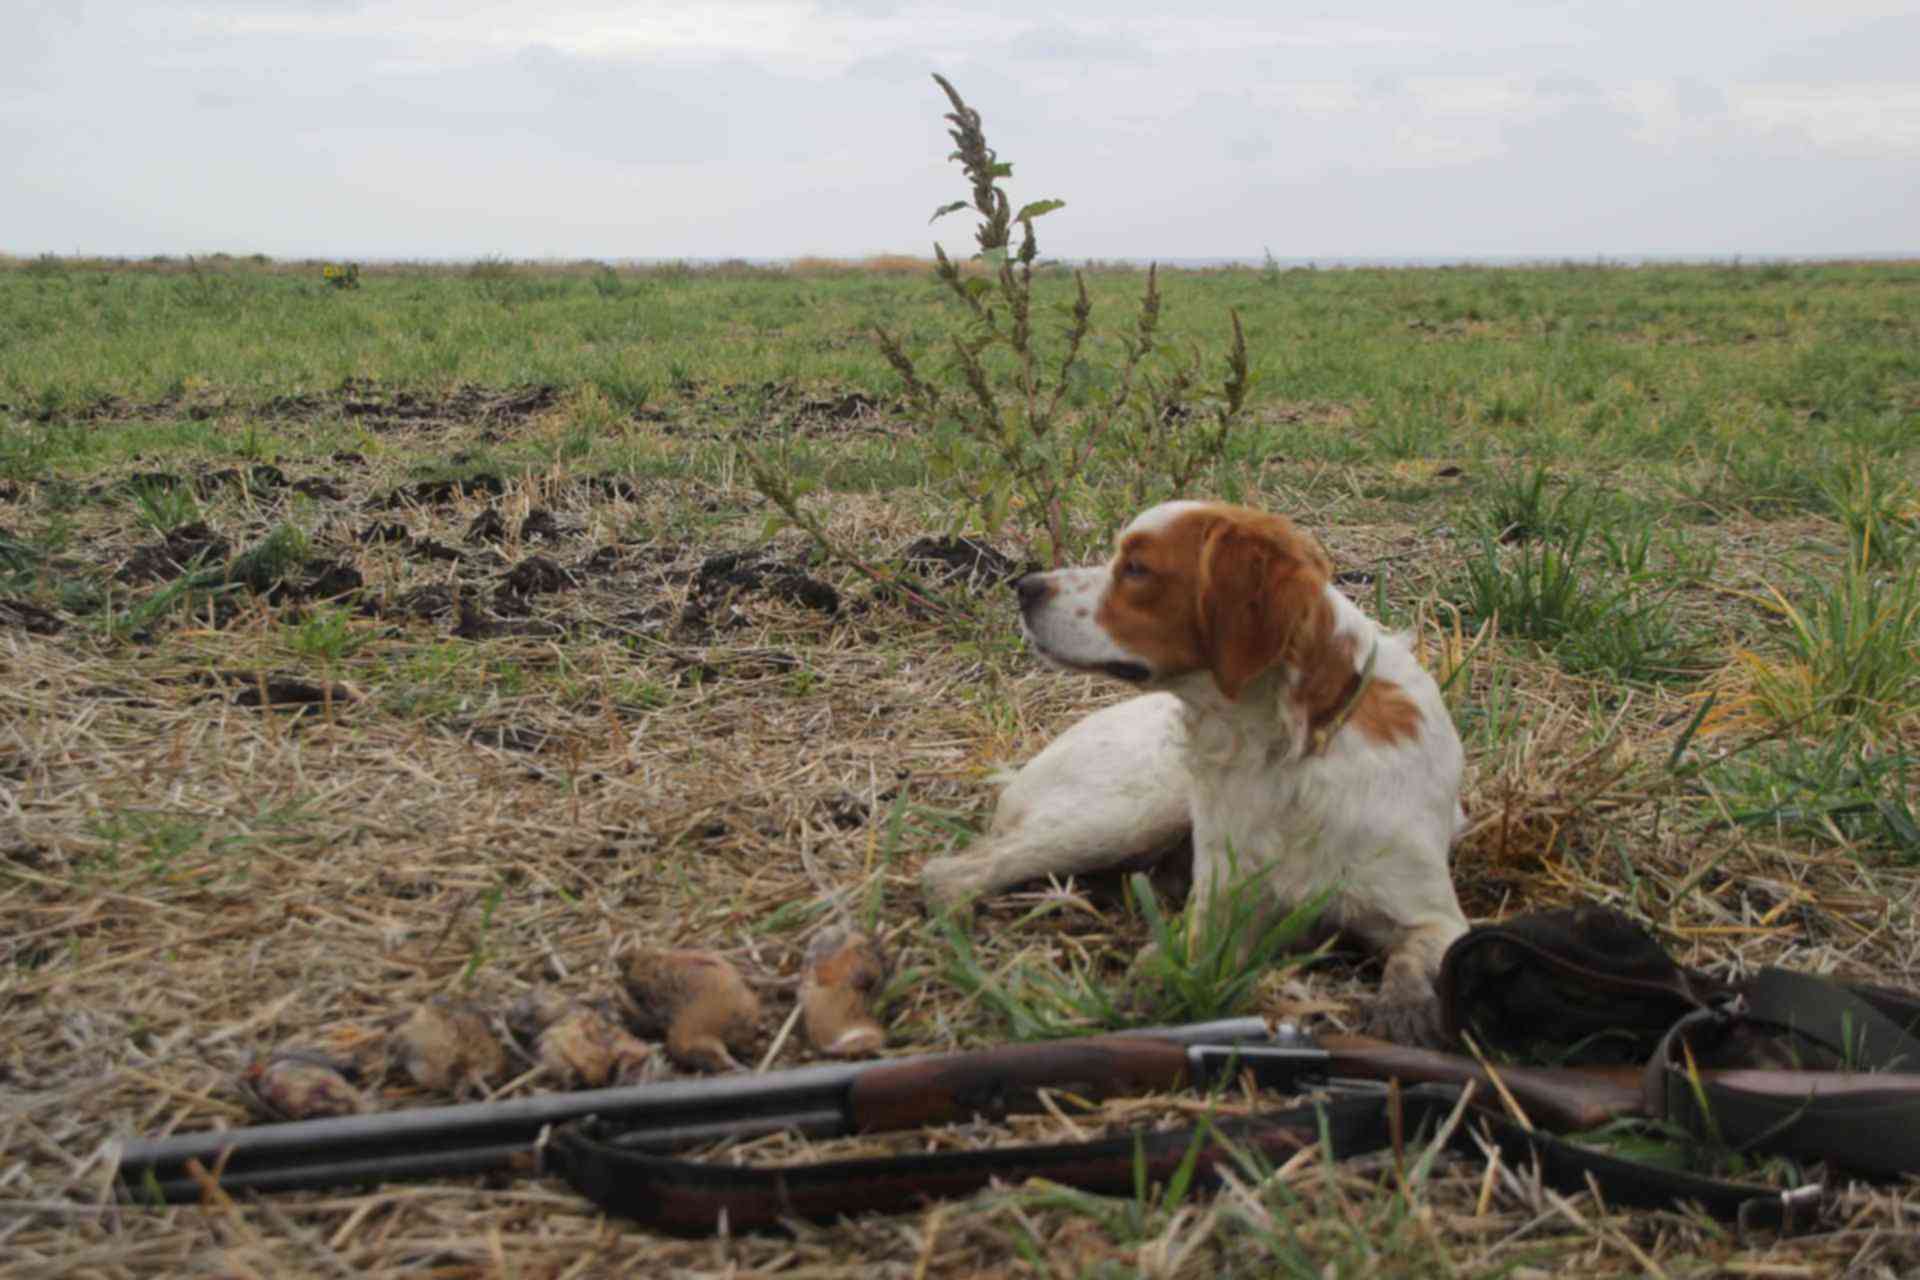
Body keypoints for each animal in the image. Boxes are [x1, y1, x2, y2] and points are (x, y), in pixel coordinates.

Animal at [913, 498, 1466, 1043]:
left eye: (1136, 568)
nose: (1024, 587)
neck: (1283, 754)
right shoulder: (1223, 903)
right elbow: (1184, 955)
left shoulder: (1434, 914)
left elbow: (1416, 955)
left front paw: (1404, 1005)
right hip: (1134, 811)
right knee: (951, 871)